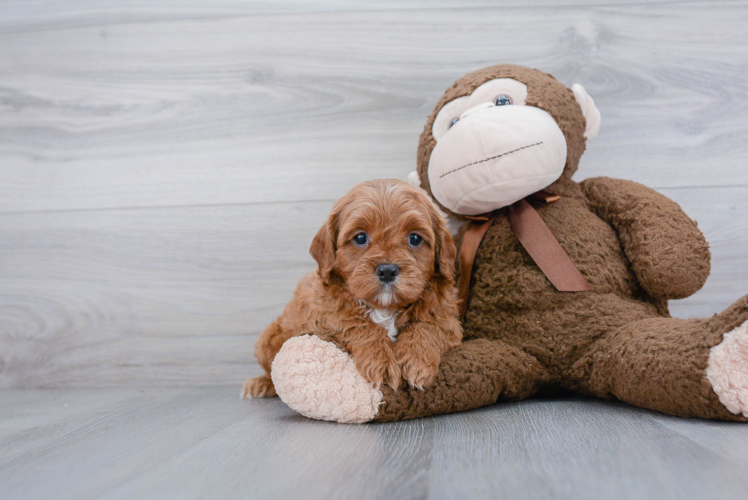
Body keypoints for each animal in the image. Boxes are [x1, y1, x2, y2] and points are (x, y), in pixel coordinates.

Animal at [243, 180, 462, 398]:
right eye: (360, 238)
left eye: (415, 238)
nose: (387, 270)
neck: (385, 308)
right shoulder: (324, 319)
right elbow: (358, 324)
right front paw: (380, 362)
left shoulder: (448, 321)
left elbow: (427, 326)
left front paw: (416, 361)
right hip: (267, 341)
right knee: (272, 369)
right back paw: (261, 384)